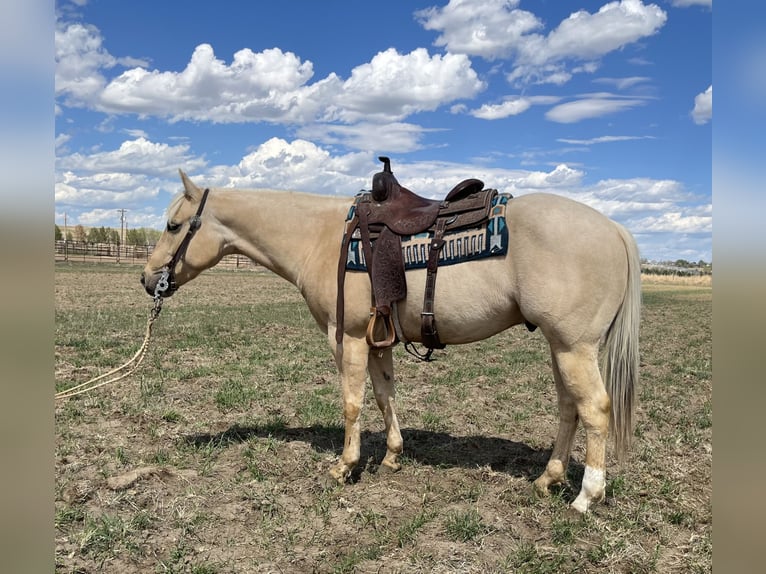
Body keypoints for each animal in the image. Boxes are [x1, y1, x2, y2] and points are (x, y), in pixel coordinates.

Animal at [140, 170, 640, 512]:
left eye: (173, 225)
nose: (148, 280)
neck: (320, 237)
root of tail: (614, 228)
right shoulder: (378, 340)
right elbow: (384, 397)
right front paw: (392, 457)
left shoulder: (347, 338)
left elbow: (352, 403)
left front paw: (345, 466)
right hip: (561, 348)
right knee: (569, 408)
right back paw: (548, 479)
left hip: (574, 348)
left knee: (595, 408)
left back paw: (585, 496)